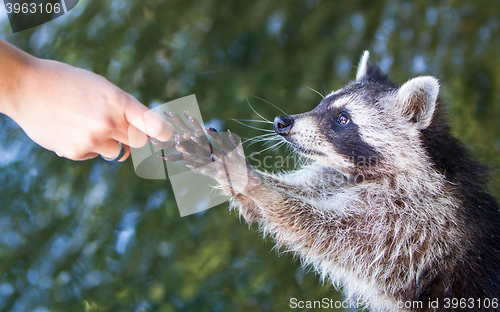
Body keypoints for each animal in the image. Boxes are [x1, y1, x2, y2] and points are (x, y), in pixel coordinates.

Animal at [159, 52, 500, 310]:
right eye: (322, 104)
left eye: (342, 119)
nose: (282, 122)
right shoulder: (339, 179)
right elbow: (305, 194)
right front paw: (240, 173)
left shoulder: (416, 224)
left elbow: (331, 236)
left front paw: (258, 187)